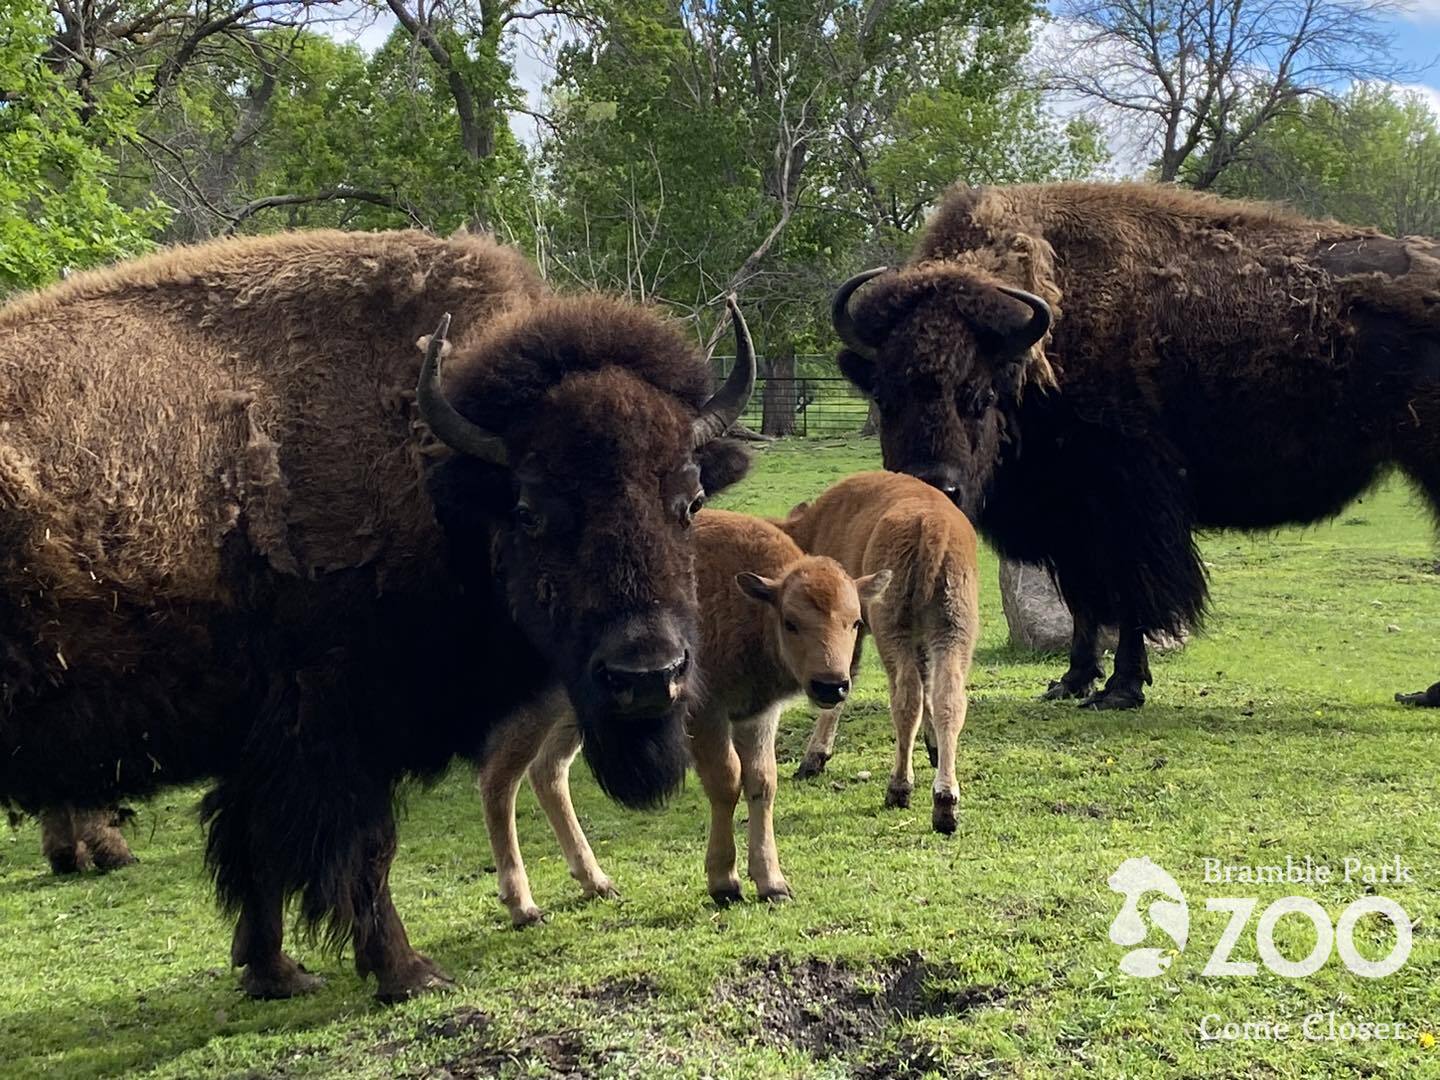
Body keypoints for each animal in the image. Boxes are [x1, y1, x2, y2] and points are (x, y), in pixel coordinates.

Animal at [0, 229, 755, 1001]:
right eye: (529, 509)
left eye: (690, 500)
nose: (647, 676)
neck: (434, 470)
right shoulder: (337, 732)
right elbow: (365, 850)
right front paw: (409, 973)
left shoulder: (265, 747)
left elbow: (254, 853)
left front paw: (277, 972)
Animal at [474, 509, 888, 921]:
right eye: (791, 621)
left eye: (855, 621)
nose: (831, 685)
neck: (750, 603)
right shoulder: (706, 714)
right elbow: (726, 781)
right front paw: (724, 884)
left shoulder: (756, 717)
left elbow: (762, 782)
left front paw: (773, 884)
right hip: (537, 705)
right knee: (499, 781)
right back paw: (523, 906)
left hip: (576, 711)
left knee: (548, 771)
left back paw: (597, 883)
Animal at [777, 472, 979, 834]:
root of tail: (934, 525)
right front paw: (933, 747)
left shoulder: (850, 629)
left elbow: (841, 684)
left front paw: (813, 759)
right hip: (953, 629)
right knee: (948, 697)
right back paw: (945, 802)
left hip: (892, 628)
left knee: (906, 697)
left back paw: (899, 788)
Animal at [831, 181, 1440, 710]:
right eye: (884, 395)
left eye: (979, 395)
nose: (934, 485)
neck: (1043, 349)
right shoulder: (1068, 519)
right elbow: (1084, 599)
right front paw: (1071, 682)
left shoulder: (1128, 509)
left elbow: (1130, 596)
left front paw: (1121, 689)